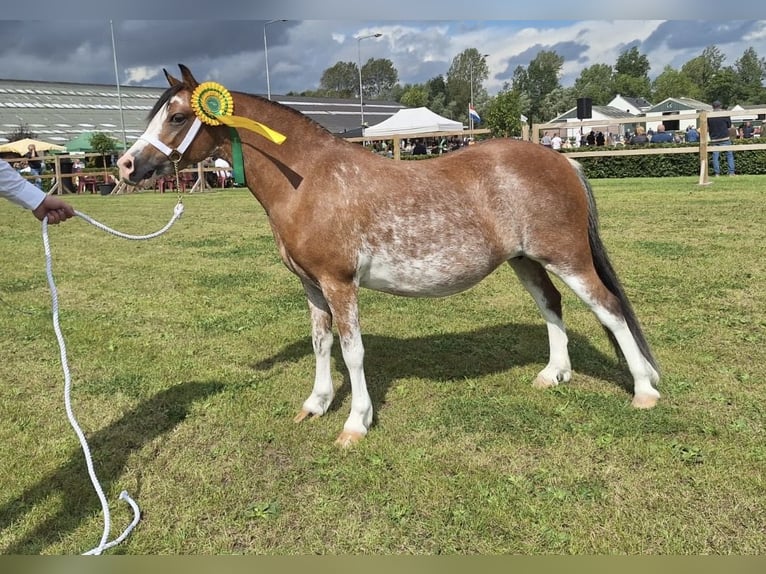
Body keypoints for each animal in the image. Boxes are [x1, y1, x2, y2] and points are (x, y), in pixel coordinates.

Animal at [117, 65, 660, 447]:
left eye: (178, 116)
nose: (125, 165)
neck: (309, 179)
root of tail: (560, 159)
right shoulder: (311, 285)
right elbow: (321, 345)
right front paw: (316, 404)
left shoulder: (339, 283)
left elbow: (352, 351)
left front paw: (356, 423)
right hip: (526, 260)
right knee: (552, 304)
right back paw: (554, 374)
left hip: (567, 257)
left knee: (609, 309)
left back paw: (644, 391)